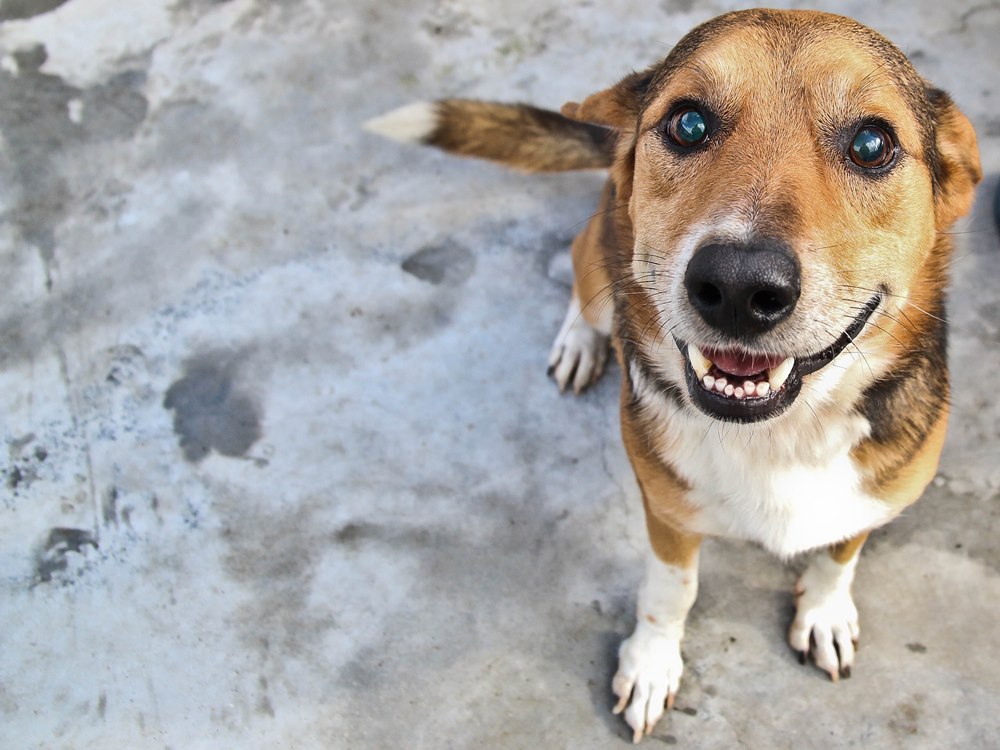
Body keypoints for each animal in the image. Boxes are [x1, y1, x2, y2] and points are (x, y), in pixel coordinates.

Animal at [366, 8, 981, 742]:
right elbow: (671, 590)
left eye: (871, 143)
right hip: (602, 246)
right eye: (688, 124)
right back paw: (580, 341)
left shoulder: (879, 490)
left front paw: (825, 611)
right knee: (584, 279)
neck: (779, 437)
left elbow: (840, 552)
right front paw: (651, 665)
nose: (739, 287)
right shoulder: (665, 509)